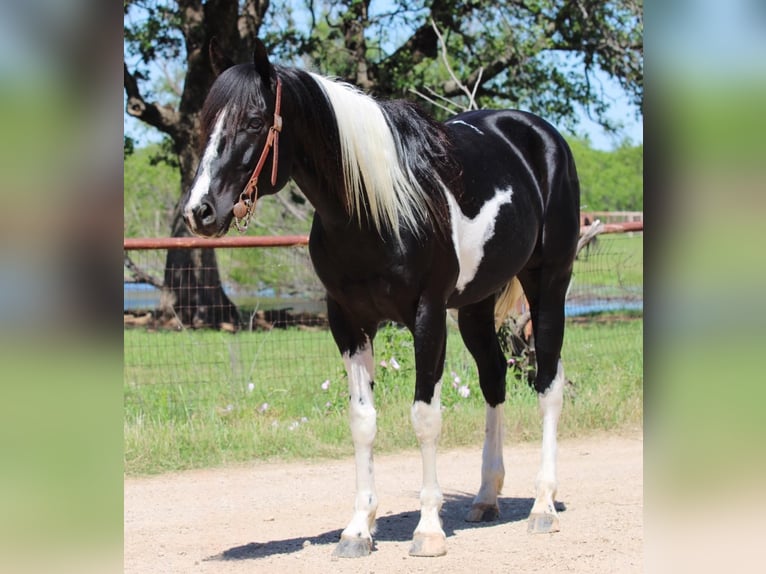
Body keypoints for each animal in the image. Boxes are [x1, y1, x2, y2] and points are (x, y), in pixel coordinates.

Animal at [183, 41, 580, 564]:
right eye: (207, 123)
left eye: (252, 121)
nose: (199, 211)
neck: (373, 212)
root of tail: (539, 135)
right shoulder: (349, 322)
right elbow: (362, 422)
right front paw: (357, 529)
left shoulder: (427, 316)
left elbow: (425, 418)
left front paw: (428, 531)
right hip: (475, 306)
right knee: (494, 379)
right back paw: (486, 497)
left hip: (548, 285)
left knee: (548, 384)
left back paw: (542, 506)